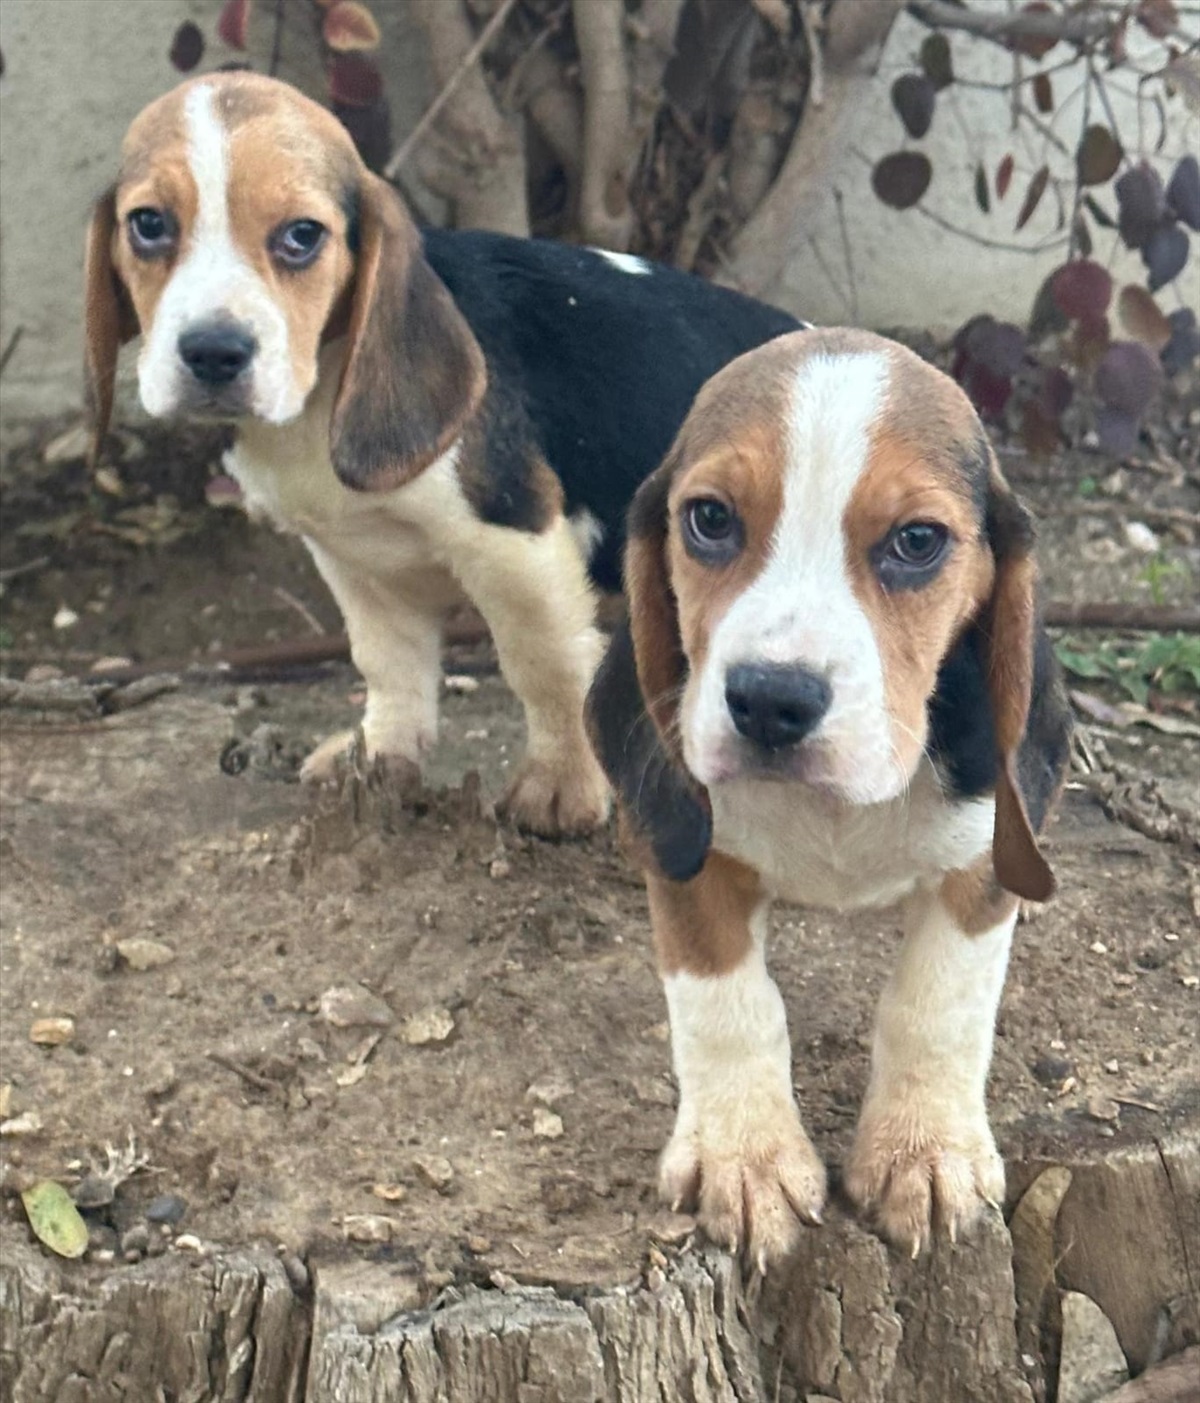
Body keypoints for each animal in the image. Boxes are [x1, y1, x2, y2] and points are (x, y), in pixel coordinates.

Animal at [82, 71, 797, 830]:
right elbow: (387, 662)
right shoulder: (355, 561)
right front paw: (380, 756)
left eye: (302, 236)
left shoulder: (514, 544)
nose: (214, 352)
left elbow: (546, 668)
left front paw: (560, 788)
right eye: (148, 224)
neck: (318, 396)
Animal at [586, 325, 1072, 1262]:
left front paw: (925, 1152)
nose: (771, 700)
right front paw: (744, 1156)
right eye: (710, 520)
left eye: (917, 540)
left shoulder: (974, 868)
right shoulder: (692, 861)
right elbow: (727, 1008)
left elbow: (937, 1004)